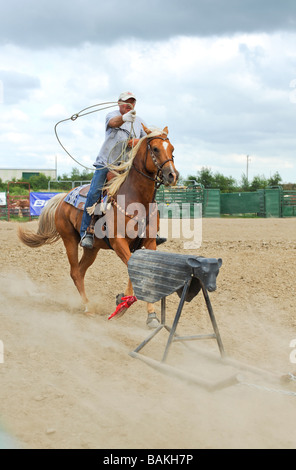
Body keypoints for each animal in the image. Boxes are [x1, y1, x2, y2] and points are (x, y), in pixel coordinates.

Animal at [19, 123, 180, 324]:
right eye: (156, 149)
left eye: (172, 148)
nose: (172, 175)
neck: (136, 200)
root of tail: (63, 197)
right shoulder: (118, 242)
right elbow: (132, 269)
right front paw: (122, 304)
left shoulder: (149, 243)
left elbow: (143, 274)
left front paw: (149, 315)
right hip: (69, 239)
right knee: (74, 272)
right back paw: (88, 306)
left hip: (92, 248)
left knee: (80, 271)